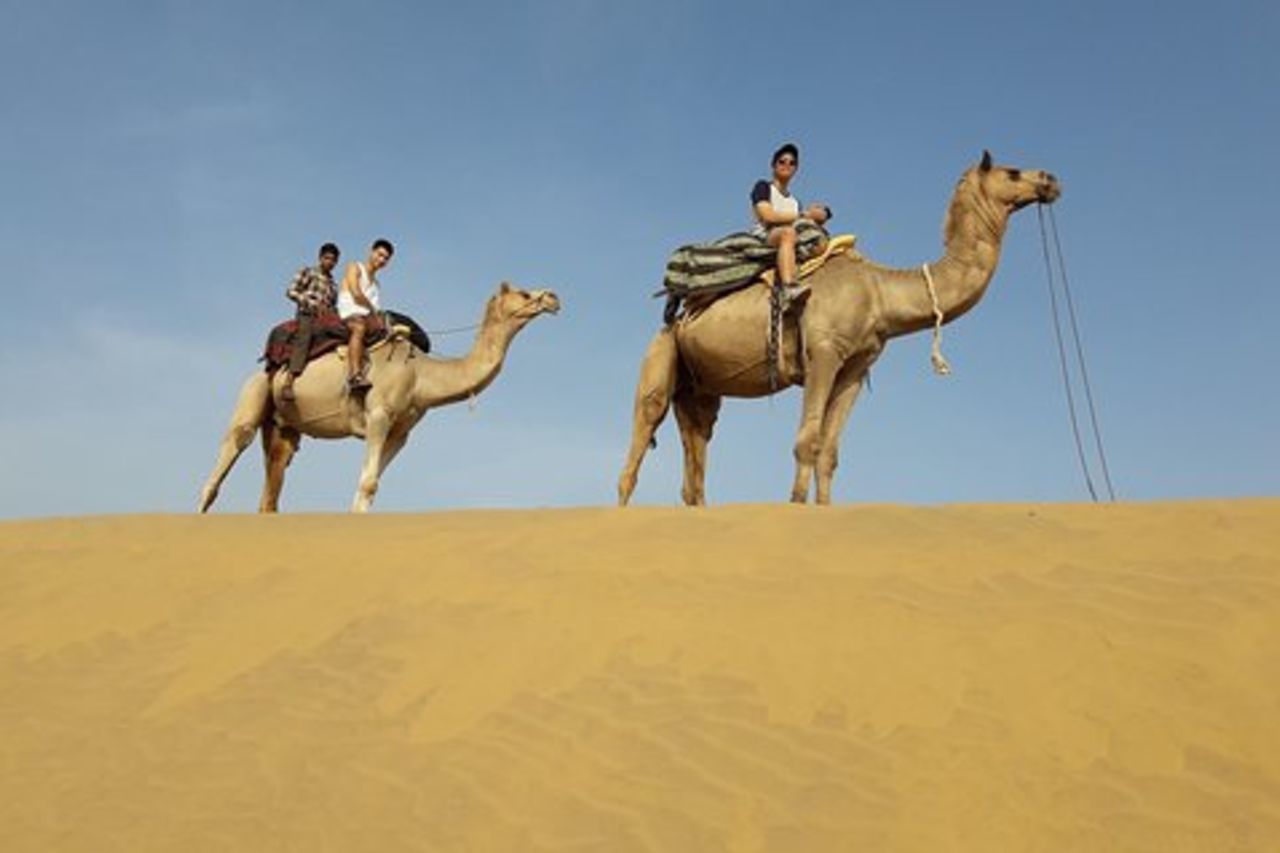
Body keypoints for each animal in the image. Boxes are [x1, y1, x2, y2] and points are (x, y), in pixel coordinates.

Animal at [199, 282, 560, 513]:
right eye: (524, 292)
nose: (553, 297)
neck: (420, 375)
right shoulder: (379, 414)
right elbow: (367, 484)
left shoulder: (400, 432)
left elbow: (370, 485)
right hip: (254, 393)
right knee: (224, 463)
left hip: (283, 426)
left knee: (272, 488)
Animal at [618, 151, 1061, 506]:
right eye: (1013, 172)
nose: (1051, 179)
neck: (878, 290)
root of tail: (677, 315)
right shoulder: (824, 352)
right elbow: (807, 441)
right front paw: (795, 507)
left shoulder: (856, 367)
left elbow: (829, 452)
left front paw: (824, 510)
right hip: (661, 352)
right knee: (641, 434)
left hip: (698, 388)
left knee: (697, 457)